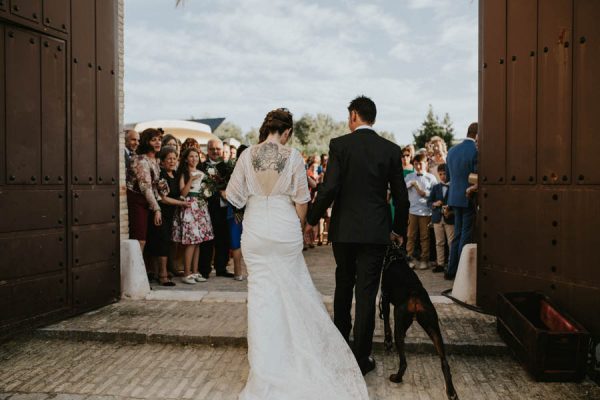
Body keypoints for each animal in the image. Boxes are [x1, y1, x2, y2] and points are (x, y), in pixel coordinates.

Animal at [380, 244, 460, 400]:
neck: (395, 255)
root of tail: (415, 295)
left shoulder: (384, 298)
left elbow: (386, 323)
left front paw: (387, 342)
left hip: (400, 322)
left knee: (404, 362)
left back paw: (396, 378)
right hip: (433, 326)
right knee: (444, 362)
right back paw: (451, 392)